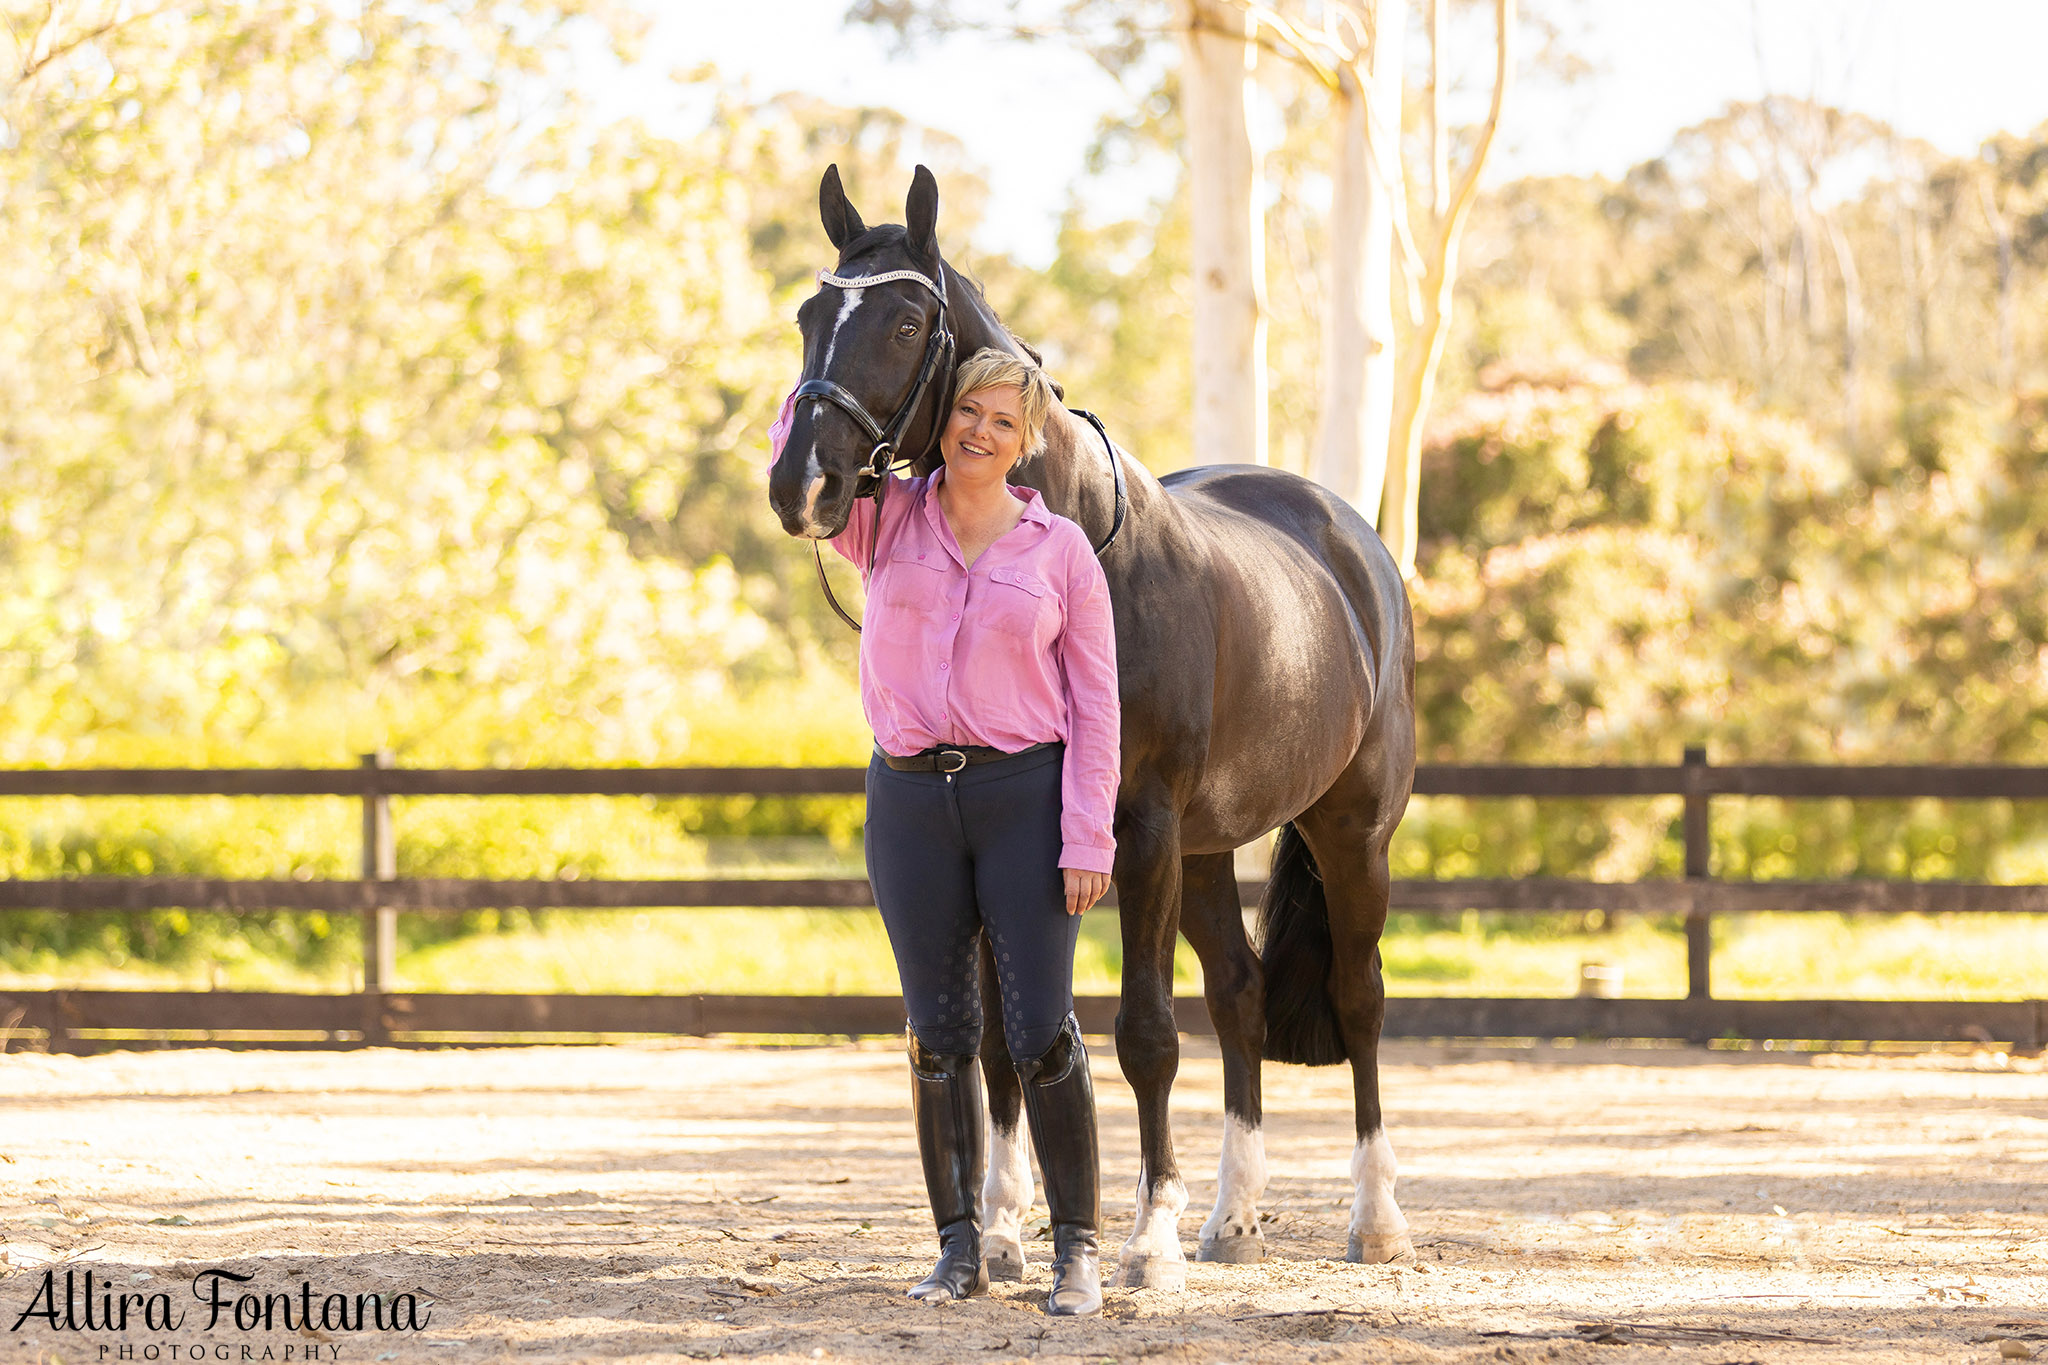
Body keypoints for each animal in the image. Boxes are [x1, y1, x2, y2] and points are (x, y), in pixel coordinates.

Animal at [761, 165, 1417, 1285]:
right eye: (810, 316)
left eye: (904, 321)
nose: (801, 484)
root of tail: (1350, 541)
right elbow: (999, 1043)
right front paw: (1002, 1232)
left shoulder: (1138, 832)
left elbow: (1145, 1033)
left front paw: (1145, 1242)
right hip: (1207, 851)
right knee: (1240, 995)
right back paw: (1234, 1217)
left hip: (1345, 833)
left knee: (1357, 993)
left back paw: (1373, 1219)